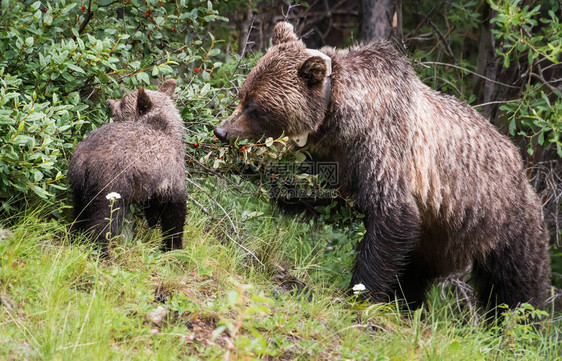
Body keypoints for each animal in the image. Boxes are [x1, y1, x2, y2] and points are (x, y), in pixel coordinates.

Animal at [68, 80, 185, 252]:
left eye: (122, 101)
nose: (109, 102)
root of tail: (84, 157)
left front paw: (154, 222)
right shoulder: (170, 173)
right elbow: (175, 211)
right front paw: (173, 245)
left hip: (79, 185)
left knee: (79, 213)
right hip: (111, 182)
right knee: (105, 219)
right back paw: (102, 250)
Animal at [213, 21, 548, 310]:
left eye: (256, 107)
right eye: (242, 94)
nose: (222, 131)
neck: (338, 118)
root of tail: (526, 175)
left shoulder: (380, 146)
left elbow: (393, 214)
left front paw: (360, 292)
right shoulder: (335, 156)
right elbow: (313, 192)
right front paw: (254, 170)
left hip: (505, 225)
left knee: (514, 285)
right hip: (440, 237)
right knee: (417, 270)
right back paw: (407, 304)